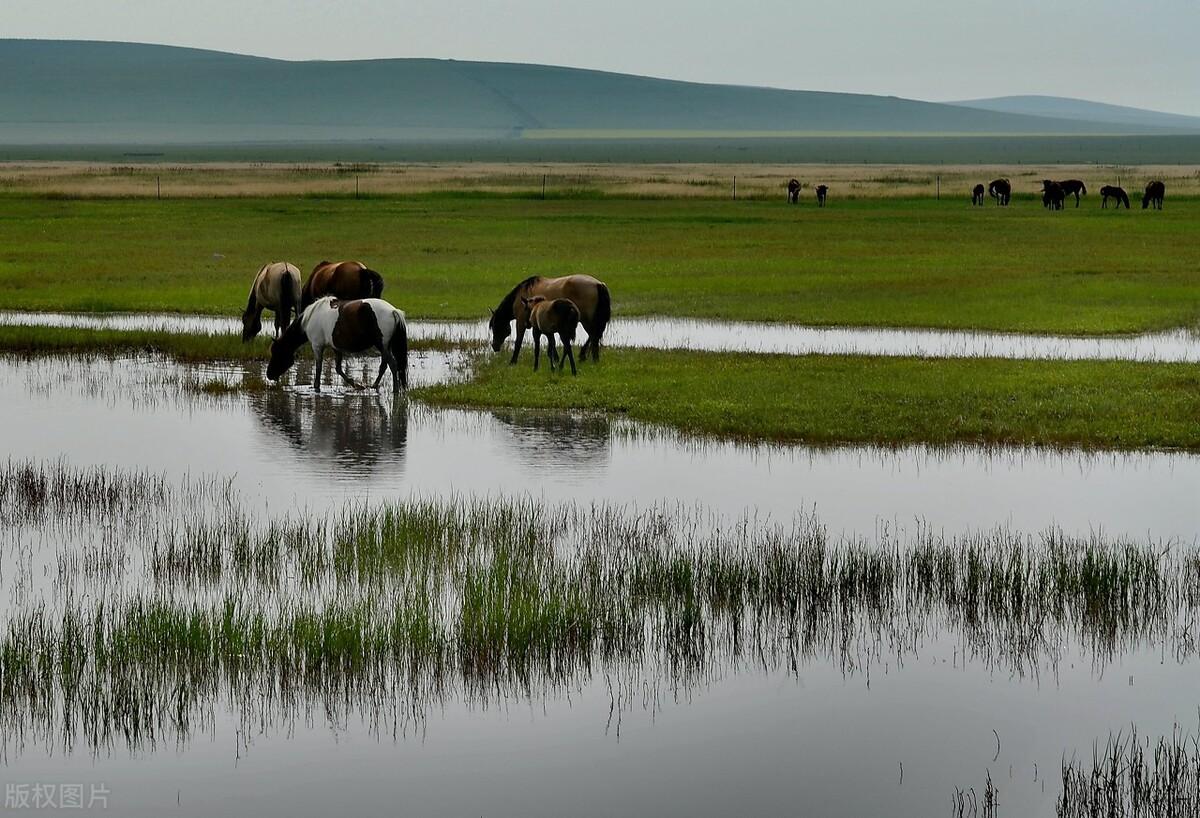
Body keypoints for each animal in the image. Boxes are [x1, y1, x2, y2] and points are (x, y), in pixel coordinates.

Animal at [266, 295, 408, 393]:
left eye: (277, 353)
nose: (269, 374)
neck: (308, 320)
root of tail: (393, 311)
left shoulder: (317, 346)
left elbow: (318, 369)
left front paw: (316, 388)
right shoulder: (336, 348)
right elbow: (339, 369)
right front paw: (356, 385)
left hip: (381, 345)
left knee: (392, 364)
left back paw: (395, 390)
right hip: (385, 346)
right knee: (384, 366)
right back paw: (374, 385)